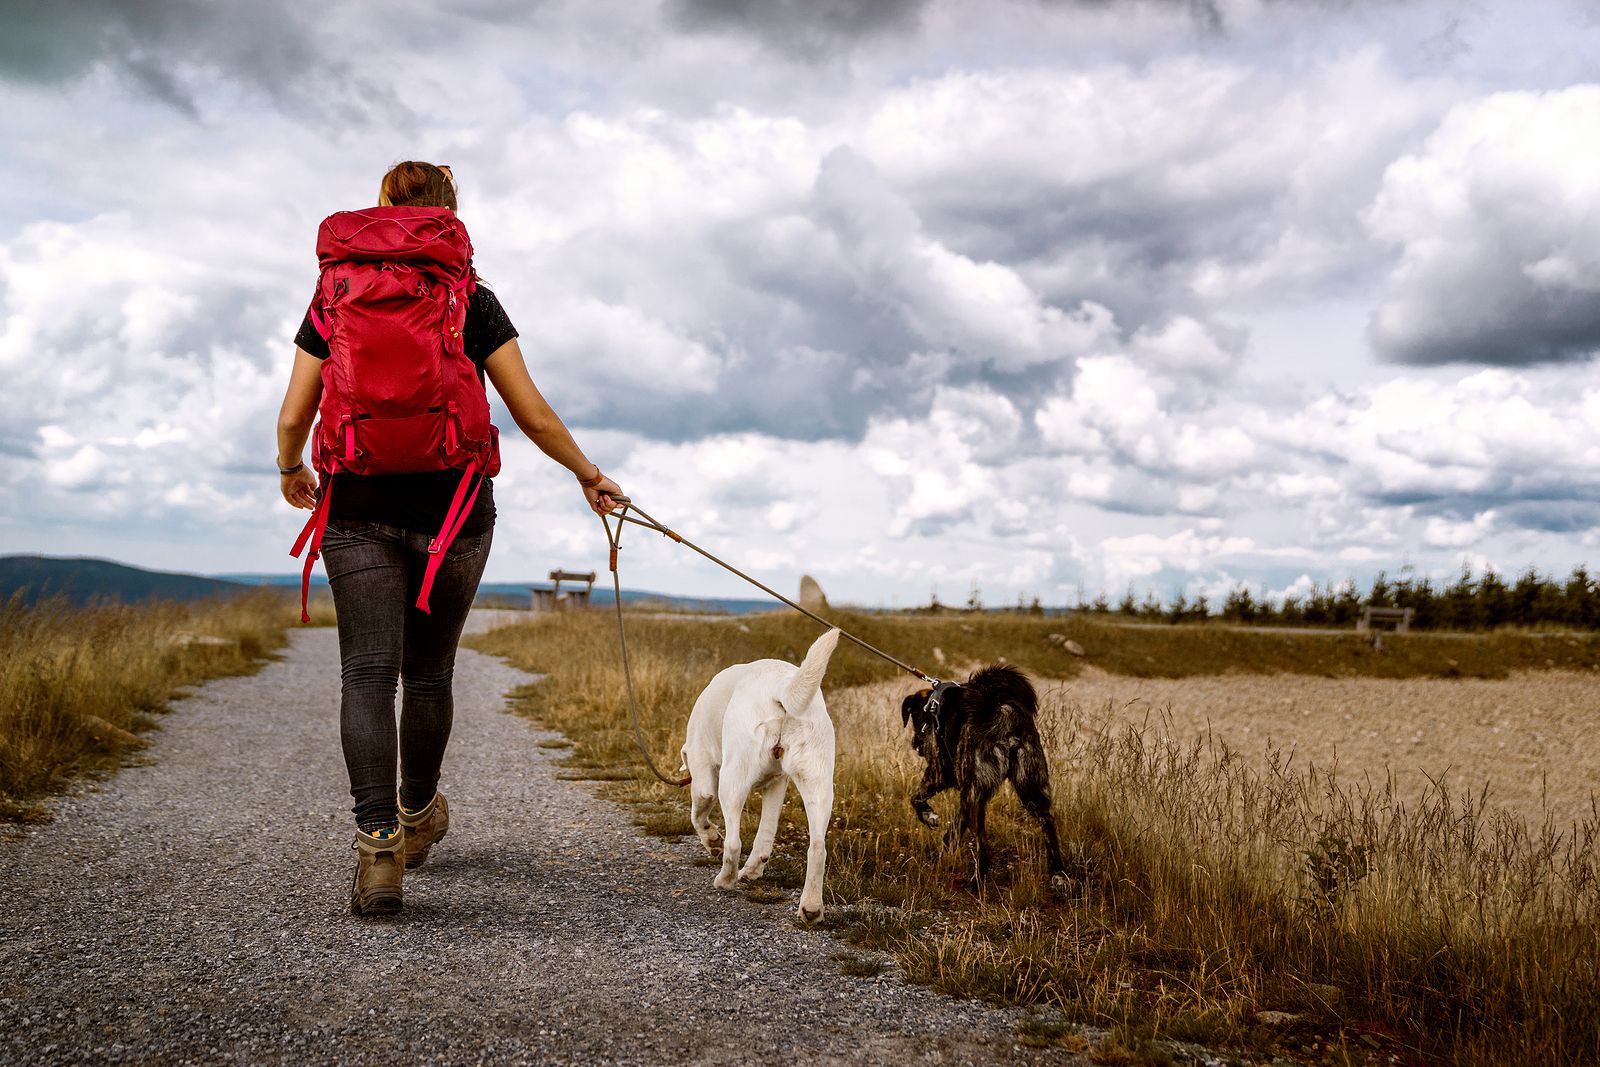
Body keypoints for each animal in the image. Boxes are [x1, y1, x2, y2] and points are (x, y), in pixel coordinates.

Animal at [681, 630, 844, 921]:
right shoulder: (777, 784)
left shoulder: (704, 781)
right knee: (817, 847)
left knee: (734, 843)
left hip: (732, 781)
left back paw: (726, 880)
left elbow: (698, 816)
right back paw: (810, 908)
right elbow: (766, 834)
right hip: (818, 784)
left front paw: (712, 840)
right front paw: (755, 869)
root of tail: (780, 687)